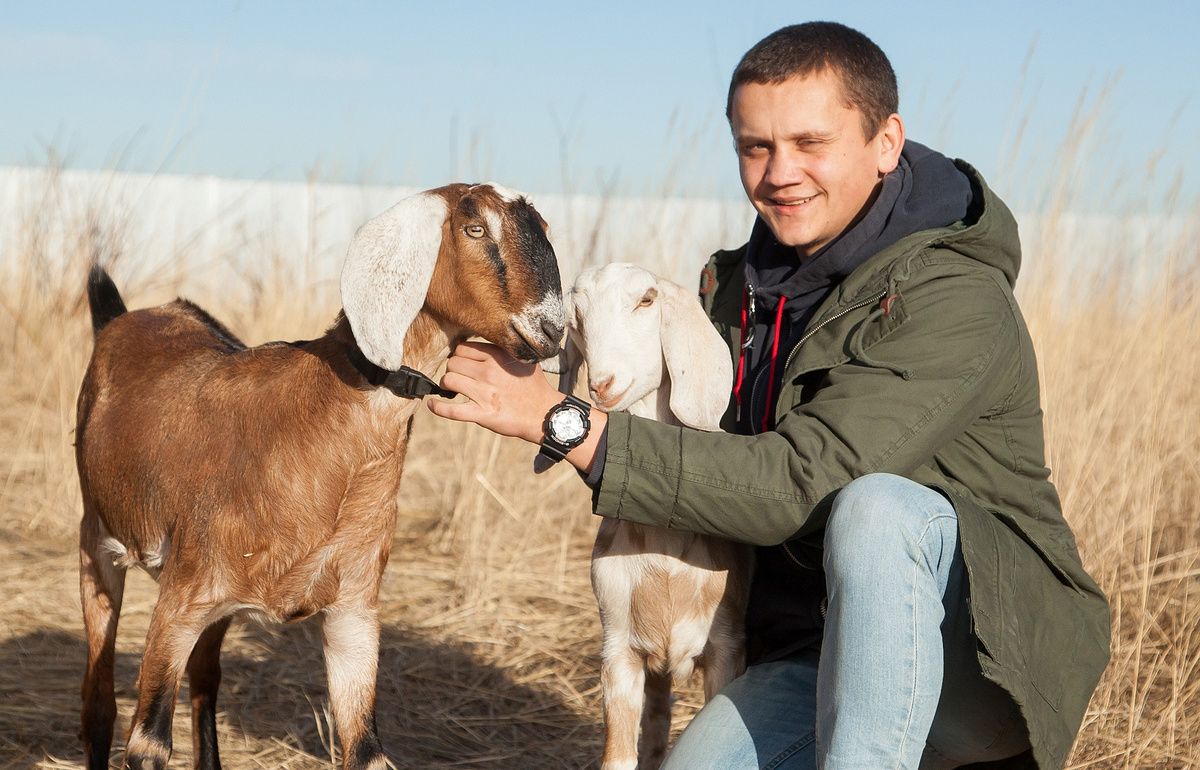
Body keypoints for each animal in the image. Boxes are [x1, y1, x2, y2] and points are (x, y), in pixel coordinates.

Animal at [77, 184, 564, 767]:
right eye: (474, 228)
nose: (552, 330)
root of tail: (125, 317)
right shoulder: (179, 603)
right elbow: (147, 743)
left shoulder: (352, 614)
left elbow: (366, 749)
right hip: (98, 543)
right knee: (99, 698)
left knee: (205, 681)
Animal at [554, 261, 748, 762]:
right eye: (575, 315)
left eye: (647, 299)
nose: (602, 384)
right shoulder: (619, 650)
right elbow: (620, 755)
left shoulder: (725, 648)